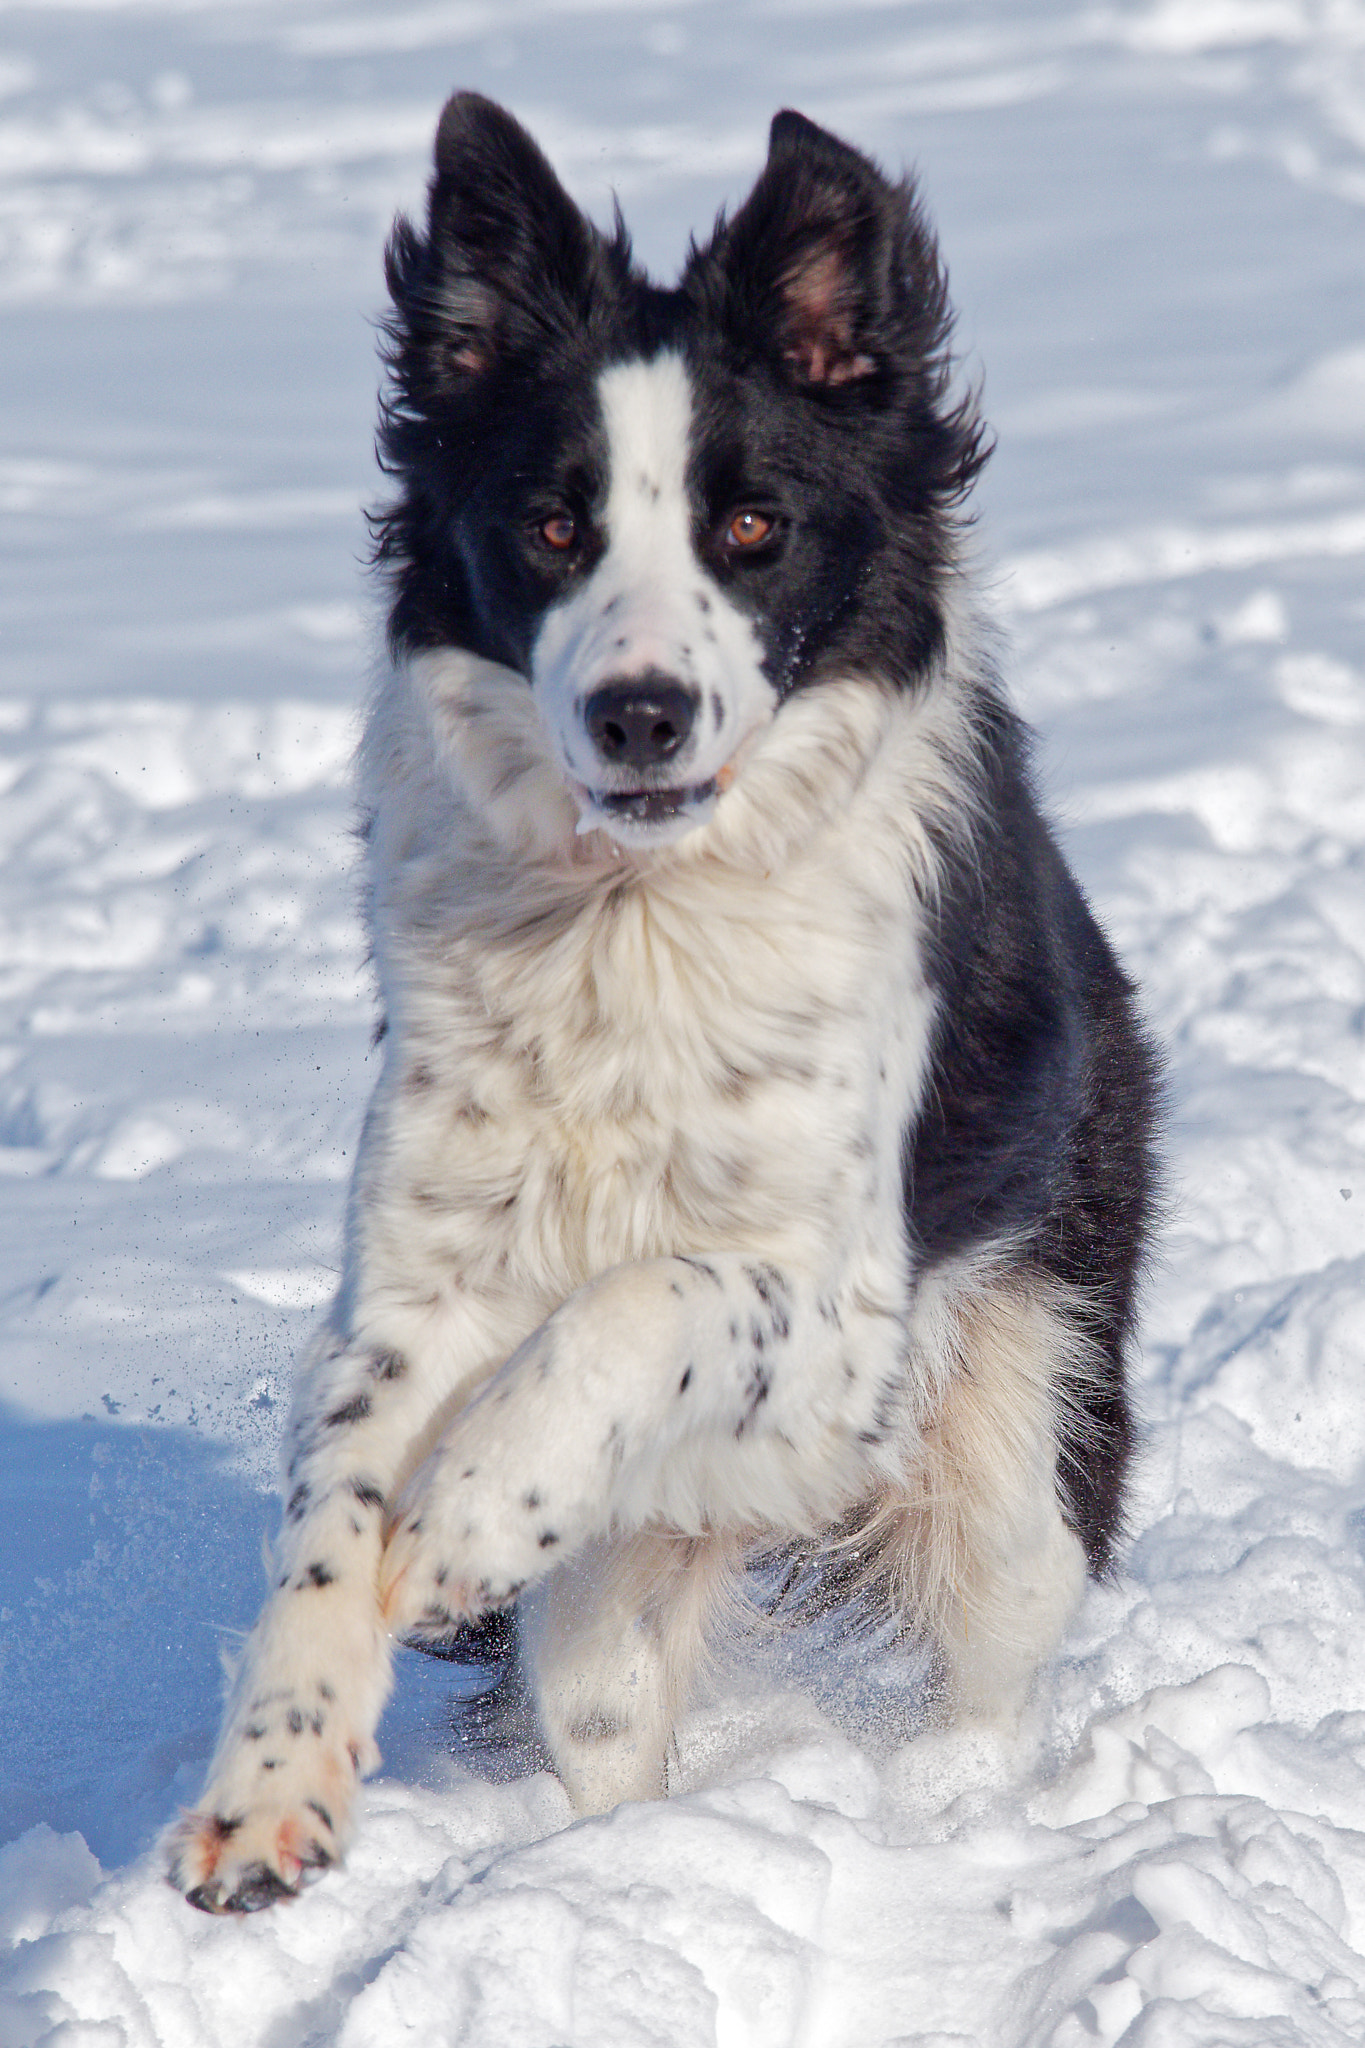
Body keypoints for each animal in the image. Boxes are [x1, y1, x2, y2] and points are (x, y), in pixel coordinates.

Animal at [165, 99, 1162, 1916]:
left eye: (752, 527)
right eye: (553, 526)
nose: (640, 713)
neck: (635, 915)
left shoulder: (839, 1322)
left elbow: (649, 1300)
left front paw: (470, 1509)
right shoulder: (415, 1272)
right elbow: (336, 1514)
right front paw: (269, 1788)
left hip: (1016, 1451)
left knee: (991, 1644)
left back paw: (953, 1807)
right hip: (622, 1596)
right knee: (608, 1709)